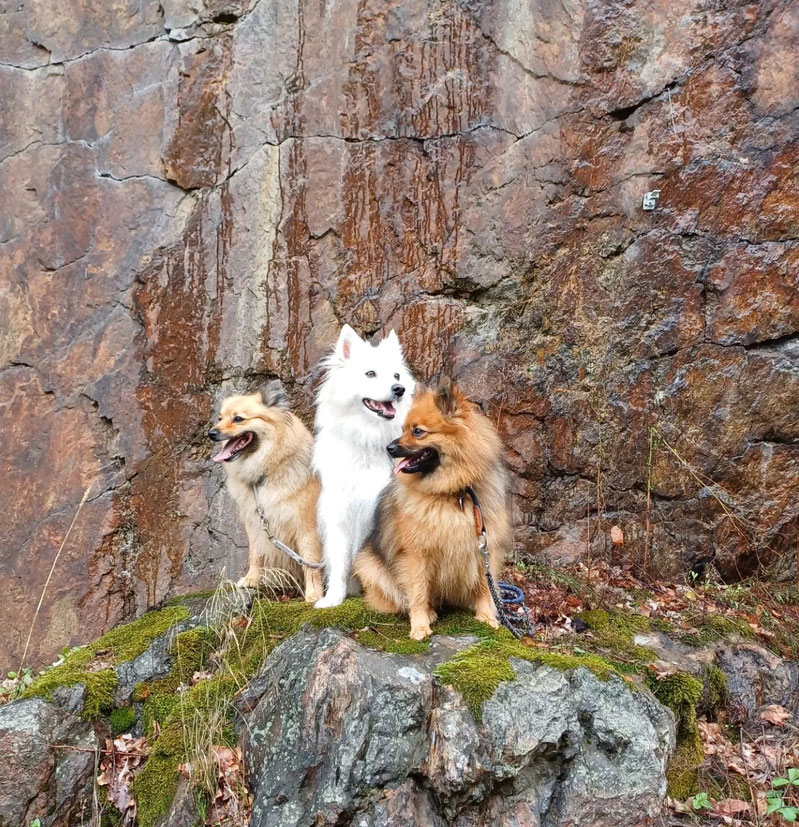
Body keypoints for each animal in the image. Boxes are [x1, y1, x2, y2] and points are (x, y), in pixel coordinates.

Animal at [312, 326, 416, 608]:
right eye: (370, 373)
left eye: (396, 375)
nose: (399, 389)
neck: (370, 443)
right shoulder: (340, 513)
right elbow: (339, 562)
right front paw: (333, 598)